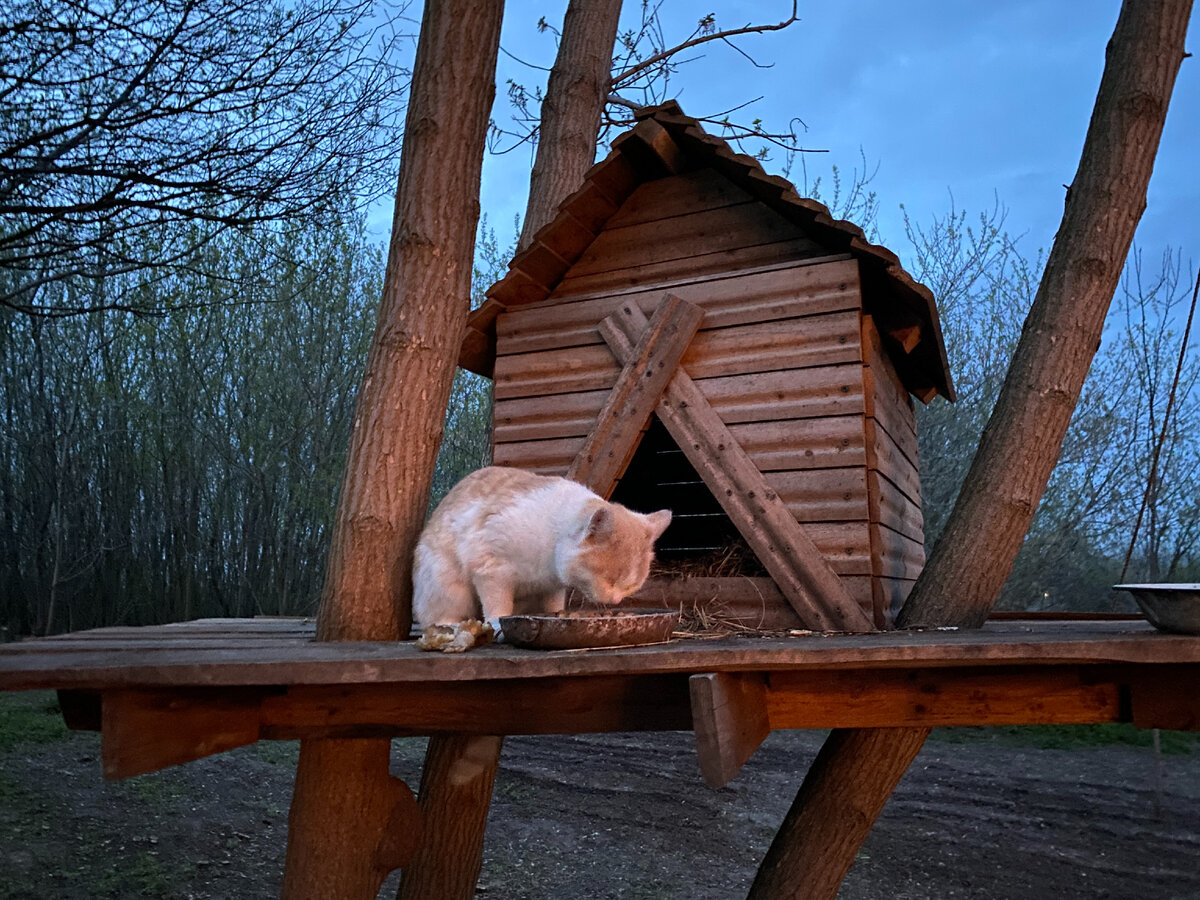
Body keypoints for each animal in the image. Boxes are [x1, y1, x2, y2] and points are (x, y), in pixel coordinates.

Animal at [415, 468, 676, 628]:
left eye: (631, 586)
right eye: (609, 580)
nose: (615, 601)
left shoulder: (552, 587)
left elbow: (553, 605)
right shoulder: (491, 570)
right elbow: (498, 606)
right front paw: (498, 624)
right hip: (446, 585)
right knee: (438, 615)